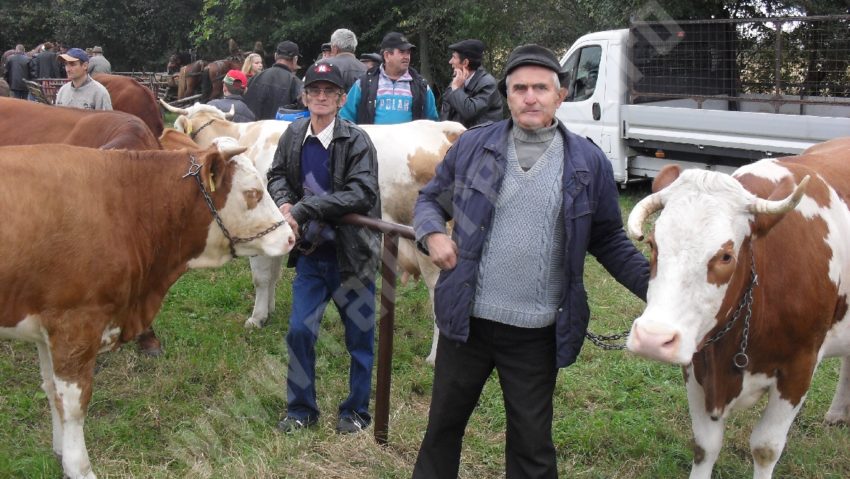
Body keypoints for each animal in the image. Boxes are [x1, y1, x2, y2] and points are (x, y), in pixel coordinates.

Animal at [0, 142, 294, 479]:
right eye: (253, 192)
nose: (290, 235)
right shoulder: (75, 323)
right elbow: (73, 405)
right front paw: (79, 467)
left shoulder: (46, 326)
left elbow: (51, 390)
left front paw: (60, 453)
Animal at [161, 102, 464, 364]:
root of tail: (445, 130)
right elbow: (273, 275)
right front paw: (269, 310)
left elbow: (260, 278)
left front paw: (256, 318)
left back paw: (434, 357)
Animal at [624, 137, 848, 478]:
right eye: (652, 244)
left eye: (726, 256)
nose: (652, 338)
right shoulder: (696, 361)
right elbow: (705, 445)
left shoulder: (799, 368)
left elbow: (765, 448)